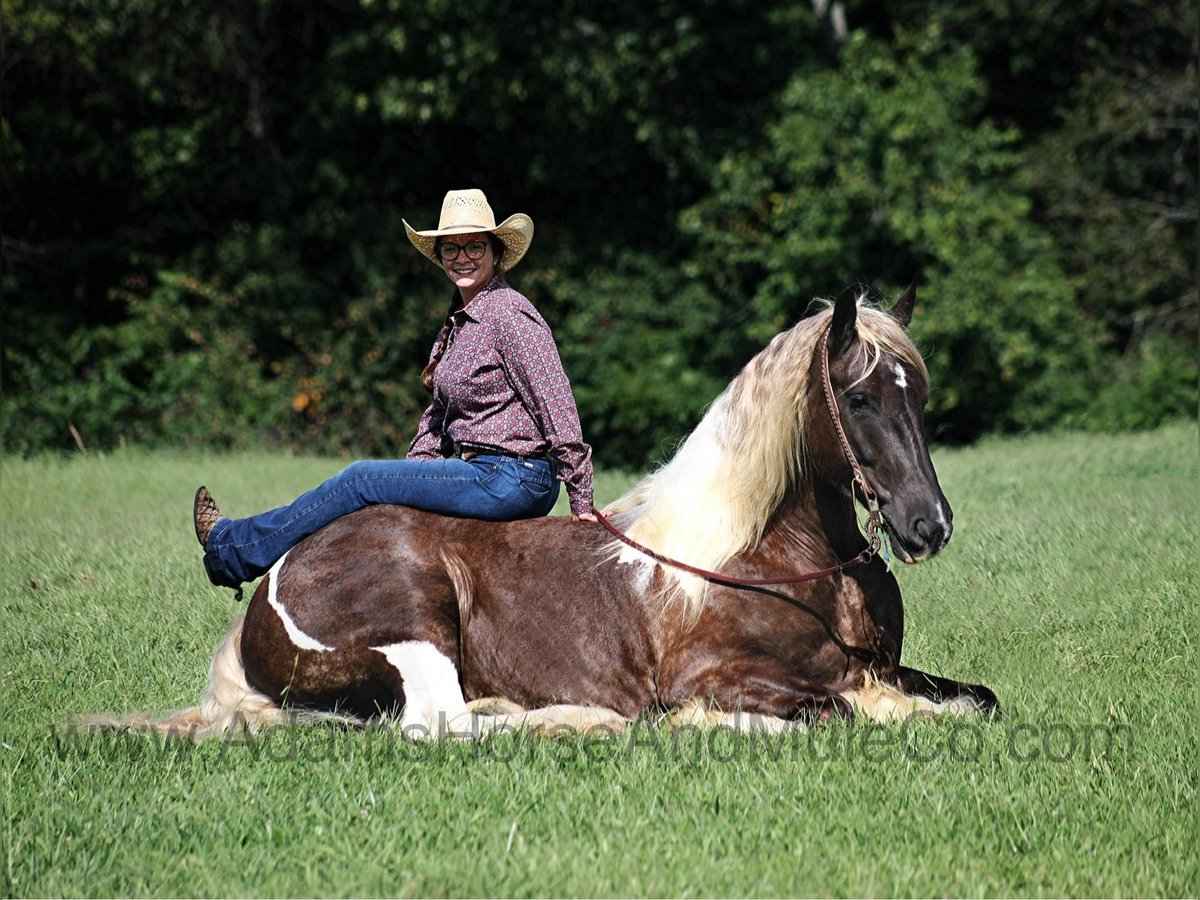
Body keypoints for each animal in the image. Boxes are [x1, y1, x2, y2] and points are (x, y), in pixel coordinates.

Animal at [142, 283, 1003, 739]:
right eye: (858, 398)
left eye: (919, 396)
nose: (929, 525)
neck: (762, 560)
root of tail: (271, 586)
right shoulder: (714, 675)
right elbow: (839, 711)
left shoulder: (883, 667)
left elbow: (978, 699)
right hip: (416, 620)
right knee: (442, 722)